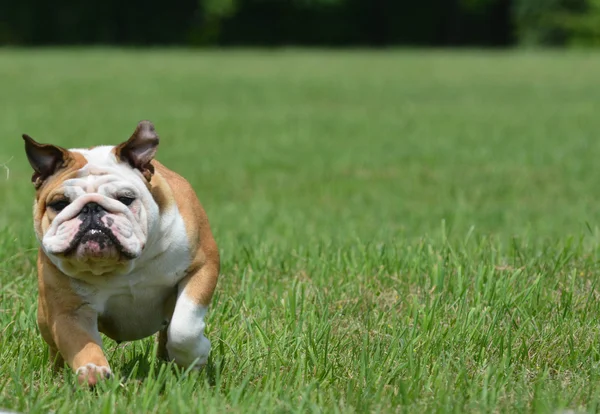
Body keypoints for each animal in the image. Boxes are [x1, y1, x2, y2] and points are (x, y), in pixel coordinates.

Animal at [24, 121, 220, 386]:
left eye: (126, 198)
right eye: (59, 204)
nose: (91, 208)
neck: (122, 267)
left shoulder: (203, 265)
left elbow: (183, 327)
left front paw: (194, 357)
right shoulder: (69, 311)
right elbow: (81, 342)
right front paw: (92, 370)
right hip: (45, 320)